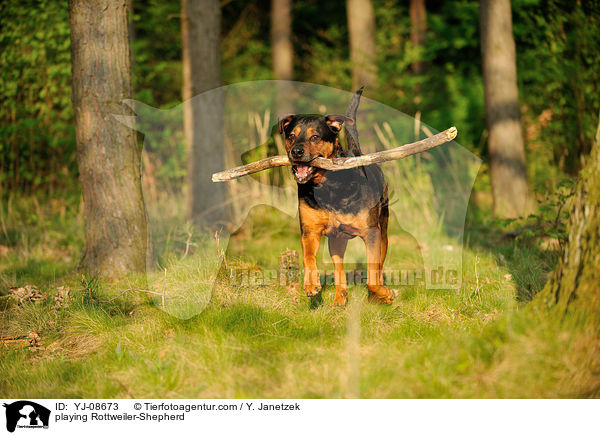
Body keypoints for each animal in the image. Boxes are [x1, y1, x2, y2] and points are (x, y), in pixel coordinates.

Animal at [280, 89, 394, 306]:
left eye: (315, 137)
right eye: (291, 136)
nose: (296, 152)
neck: (327, 185)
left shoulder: (371, 232)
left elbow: (372, 274)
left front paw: (384, 293)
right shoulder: (310, 231)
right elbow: (308, 257)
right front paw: (311, 285)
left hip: (383, 229)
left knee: (380, 264)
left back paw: (377, 295)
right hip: (336, 239)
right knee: (338, 265)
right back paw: (340, 296)